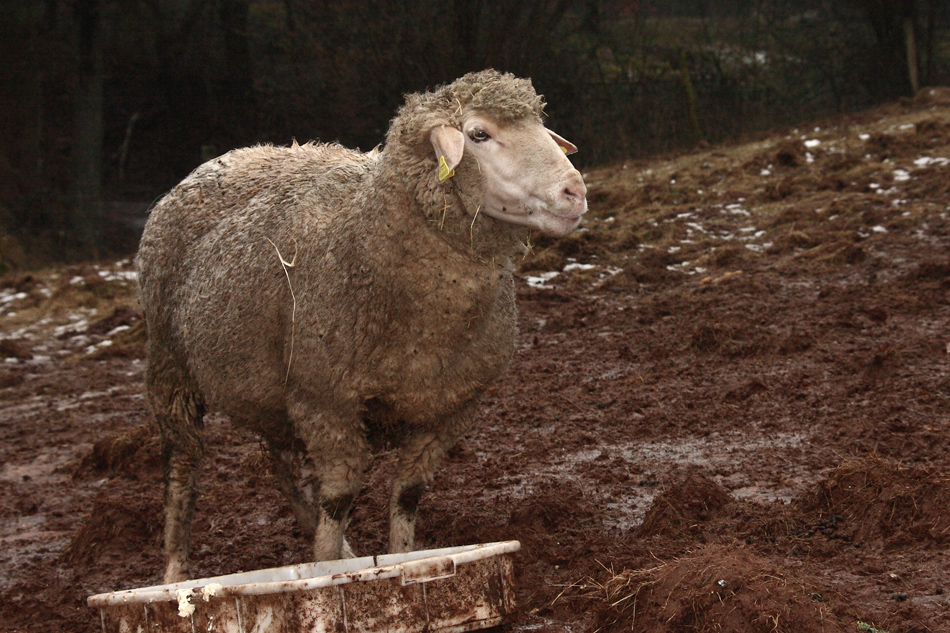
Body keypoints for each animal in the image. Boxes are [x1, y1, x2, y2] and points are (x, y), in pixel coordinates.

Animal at [136, 69, 588, 584]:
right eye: (478, 134)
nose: (575, 192)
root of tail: (227, 156)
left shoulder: (450, 408)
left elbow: (406, 496)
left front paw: (400, 561)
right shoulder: (327, 401)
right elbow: (339, 500)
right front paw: (326, 573)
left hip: (270, 388)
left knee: (280, 465)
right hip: (172, 366)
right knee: (182, 467)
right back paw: (176, 572)